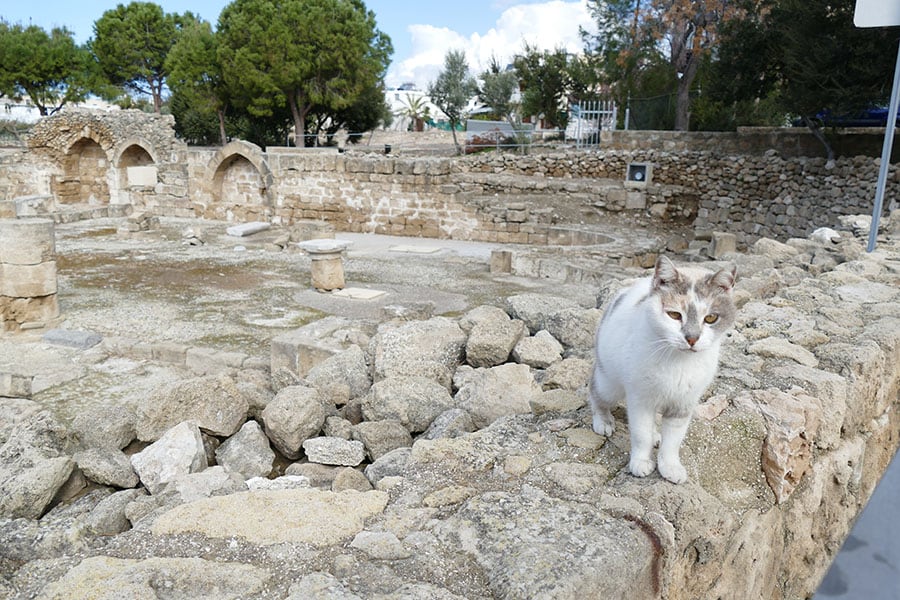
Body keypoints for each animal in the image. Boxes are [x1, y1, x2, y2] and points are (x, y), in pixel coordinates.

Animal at [592, 255, 740, 486]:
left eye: (710, 318)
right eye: (674, 315)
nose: (692, 338)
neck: (679, 362)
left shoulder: (684, 403)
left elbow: (673, 440)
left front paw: (670, 467)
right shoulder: (640, 398)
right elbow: (640, 433)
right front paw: (641, 462)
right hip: (609, 381)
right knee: (596, 393)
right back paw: (603, 421)